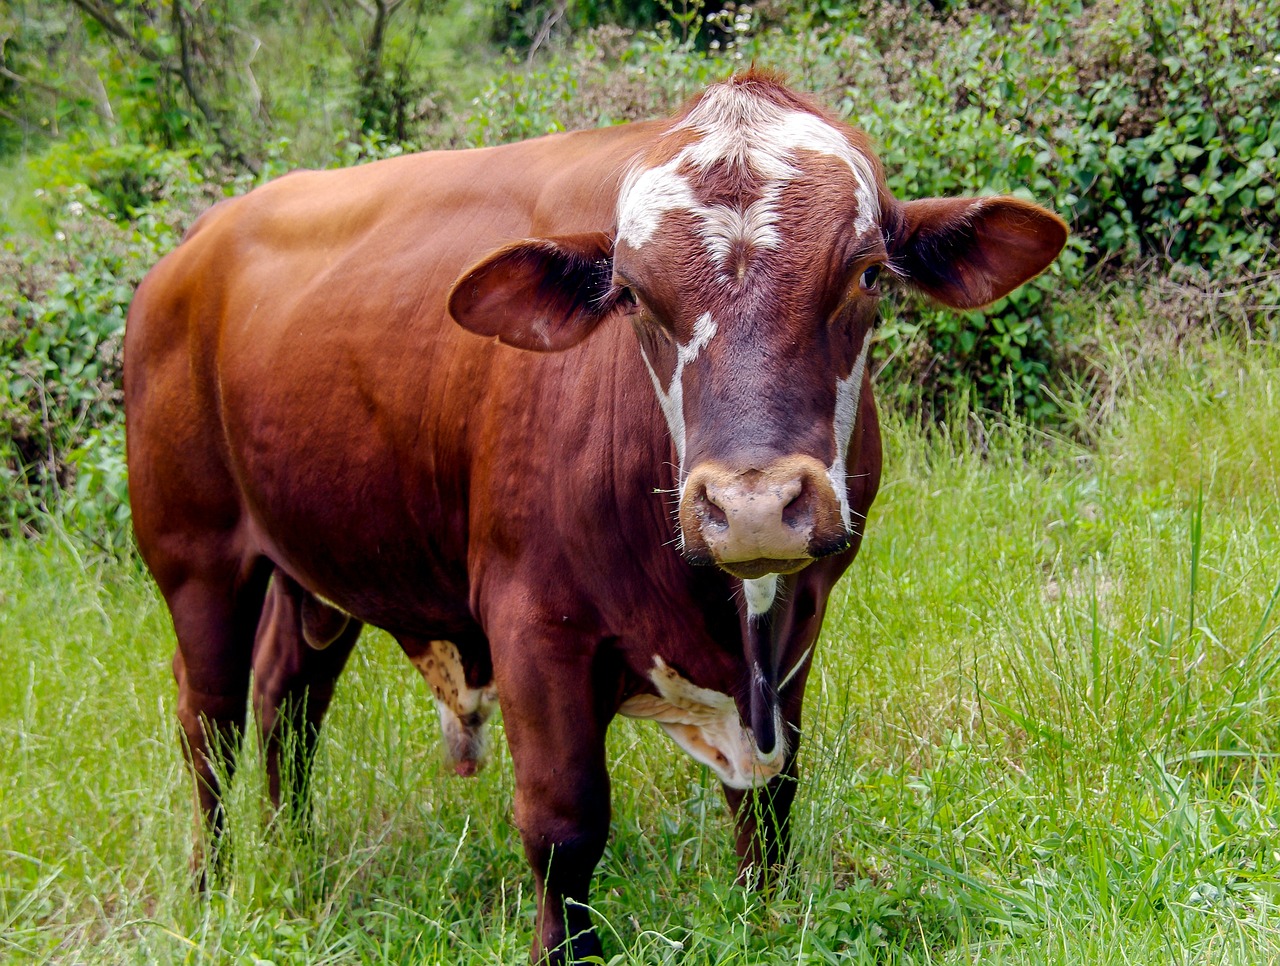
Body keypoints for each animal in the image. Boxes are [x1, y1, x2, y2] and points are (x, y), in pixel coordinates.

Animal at [127, 71, 1070, 962]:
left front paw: (766, 920)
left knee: (288, 700)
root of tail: (190, 252)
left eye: (869, 273)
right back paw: (213, 886)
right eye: (634, 296)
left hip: (320, 562)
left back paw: (297, 855)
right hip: (195, 557)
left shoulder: (800, 620)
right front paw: (562, 949)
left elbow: (770, 799)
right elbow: (565, 823)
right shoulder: (532, 626)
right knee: (210, 716)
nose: (752, 507)